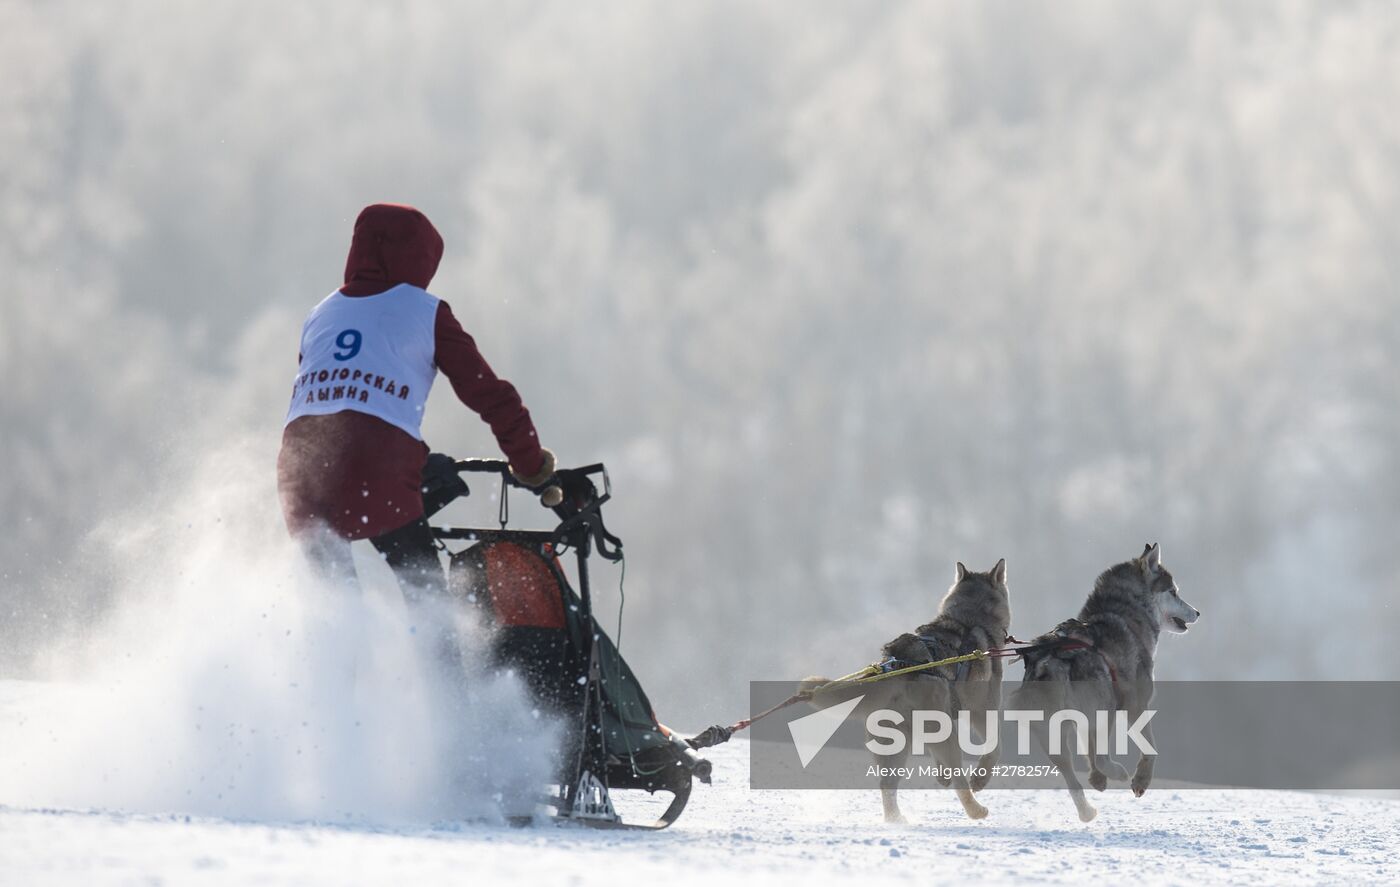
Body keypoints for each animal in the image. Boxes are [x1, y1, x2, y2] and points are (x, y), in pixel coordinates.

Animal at [806, 559, 1013, 822]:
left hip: (896, 743)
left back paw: (896, 819)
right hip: (945, 733)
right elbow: (995, 748)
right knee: (959, 781)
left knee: (887, 784)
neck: (969, 619)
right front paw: (980, 779)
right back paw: (976, 810)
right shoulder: (981, 710)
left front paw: (942, 776)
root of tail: (898, 666)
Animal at [1013, 540, 1198, 822]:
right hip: (1105, 709)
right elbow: (1150, 749)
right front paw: (1140, 781)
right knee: (1100, 756)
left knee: (1072, 775)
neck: (1130, 616)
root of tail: (1051, 660)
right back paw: (1119, 773)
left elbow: (1089, 754)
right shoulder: (1136, 706)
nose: (1197, 612)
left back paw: (1087, 810)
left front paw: (1097, 780)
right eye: (1174, 592)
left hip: (1057, 731)